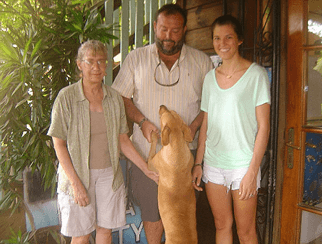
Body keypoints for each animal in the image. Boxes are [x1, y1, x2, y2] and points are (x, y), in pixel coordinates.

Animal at [148, 105, 197, 244]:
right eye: (172, 111)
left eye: (166, 112)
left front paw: (154, 136)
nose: (162, 106)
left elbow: (152, 147)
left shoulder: (150, 163)